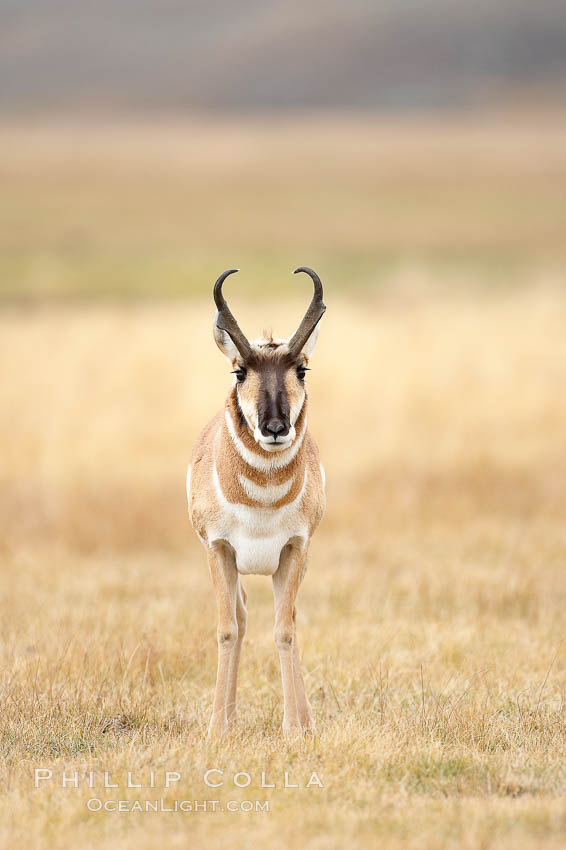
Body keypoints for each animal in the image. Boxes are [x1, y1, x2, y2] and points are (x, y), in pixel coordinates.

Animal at [189, 266, 326, 736]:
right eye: (239, 373)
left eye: (301, 369)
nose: (275, 427)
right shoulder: (219, 549)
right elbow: (227, 630)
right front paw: (217, 728)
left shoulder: (295, 549)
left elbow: (285, 630)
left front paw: (294, 728)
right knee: (242, 616)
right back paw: (229, 717)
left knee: (290, 620)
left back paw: (306, 721)